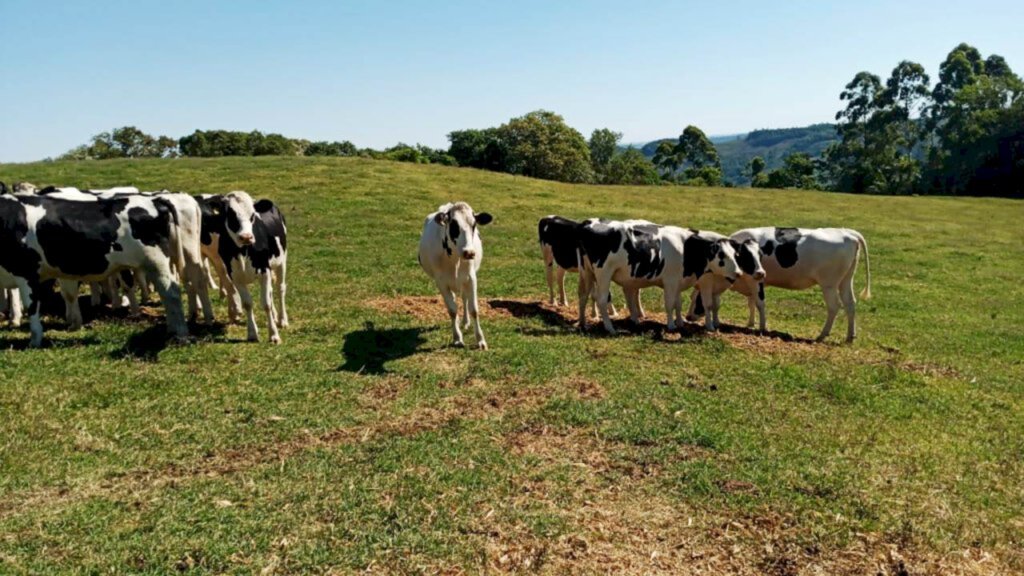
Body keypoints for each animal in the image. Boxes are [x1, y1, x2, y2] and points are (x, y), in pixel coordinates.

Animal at [0, 192, 188, 344]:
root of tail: (154, 200)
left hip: (157, 262)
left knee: (172, 294)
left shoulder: (26, 272)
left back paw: (180, 334)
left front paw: (35, 339)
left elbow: (31, 306)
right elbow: (69, 295)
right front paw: (74, 325)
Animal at [200, 190, 288, 342]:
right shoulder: (236, 276)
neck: (243, 252)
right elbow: (247, 303)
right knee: (271, 292)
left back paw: (282, 320)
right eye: (230, 215)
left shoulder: (264, 271)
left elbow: (266, 303)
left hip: (281, 261)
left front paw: (273, 335)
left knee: (280, 288)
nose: (246, 237)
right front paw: (252, 333)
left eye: (252, 215)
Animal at [419, 199, 491, 348]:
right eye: (453, 225)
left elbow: (474, 309)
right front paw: (457, 337)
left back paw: (465, 322)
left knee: (464, 298)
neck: (455, 260)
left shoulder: (471, 278)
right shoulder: (441, 282)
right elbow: (452, 310)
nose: (469, 252)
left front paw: (480, 340)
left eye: (474, 225)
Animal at [577, 218, 745, 332]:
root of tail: (588, 223)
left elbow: (678, 304)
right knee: (601, 299)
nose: (738, 272)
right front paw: (671, 325)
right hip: (604, 273)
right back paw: (609, 327)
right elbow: (670, 304)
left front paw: (680, 323)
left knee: (583, 295)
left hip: (587, 272)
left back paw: (583, 323)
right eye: (722, 255)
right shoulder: (670, 281)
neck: (685, 247)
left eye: (735, 254)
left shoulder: (678, 281)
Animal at [688, 224, 872, 340]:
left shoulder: (756, 280)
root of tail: (848, 233)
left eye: (697, 300)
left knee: (834, 306)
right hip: (845, 281)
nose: (689, 317)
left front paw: (762, 327)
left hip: (829, 284)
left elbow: (759, 303)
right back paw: (850, 336)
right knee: (850, 304)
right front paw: (750, 323)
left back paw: (822, 334)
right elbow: (751, 302)